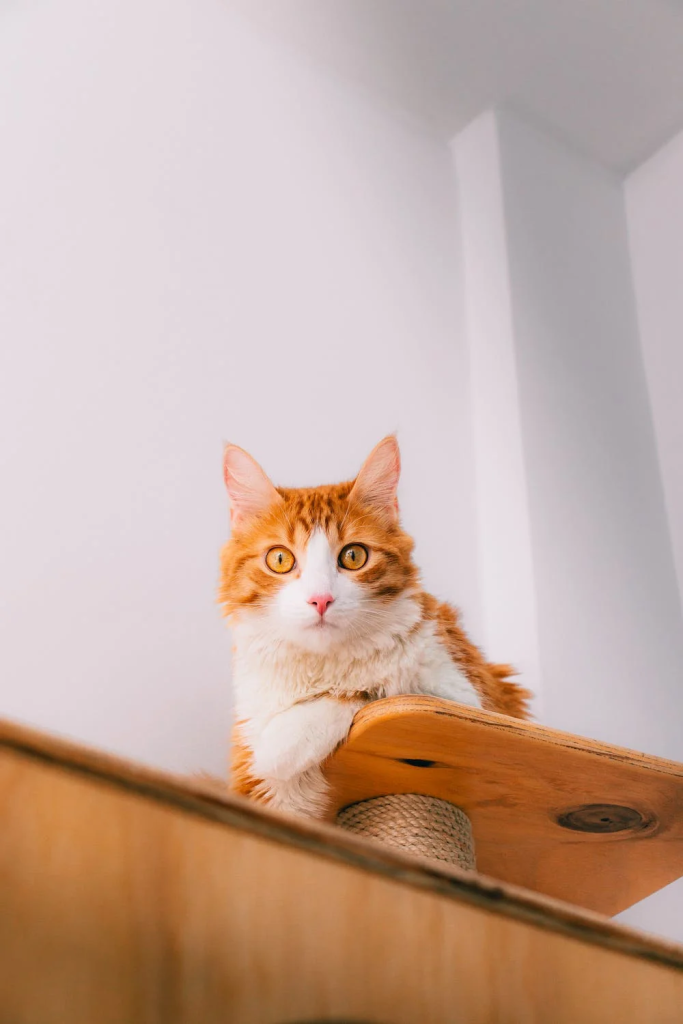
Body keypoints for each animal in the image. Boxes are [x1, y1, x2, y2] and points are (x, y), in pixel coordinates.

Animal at [219, 436, 528, 819]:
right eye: (280, 559)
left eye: (353, 556)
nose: (320, 600)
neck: (321, 669)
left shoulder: (465, 704)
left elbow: (369, 688)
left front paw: (286, 741)